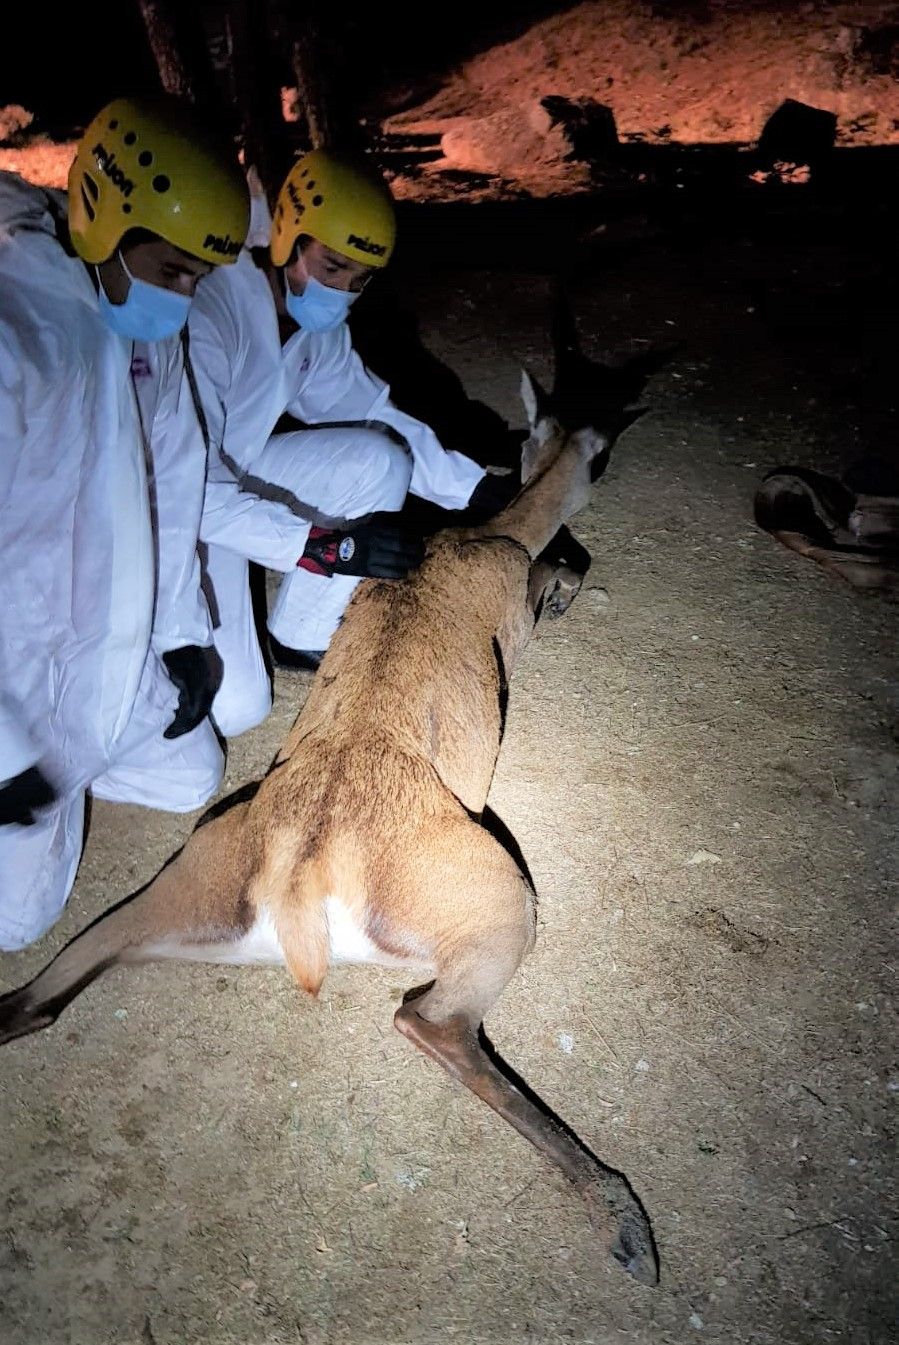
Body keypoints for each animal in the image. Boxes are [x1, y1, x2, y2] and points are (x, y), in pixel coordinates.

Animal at [0, 302, 667, 1280]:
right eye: (606, 453)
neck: (480, 534)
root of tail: (302, 877)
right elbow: (552, 578)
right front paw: (566, 583)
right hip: (500, 903)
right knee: (429, 1020)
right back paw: (624, 1221)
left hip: (174, 899)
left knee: (34, 999)